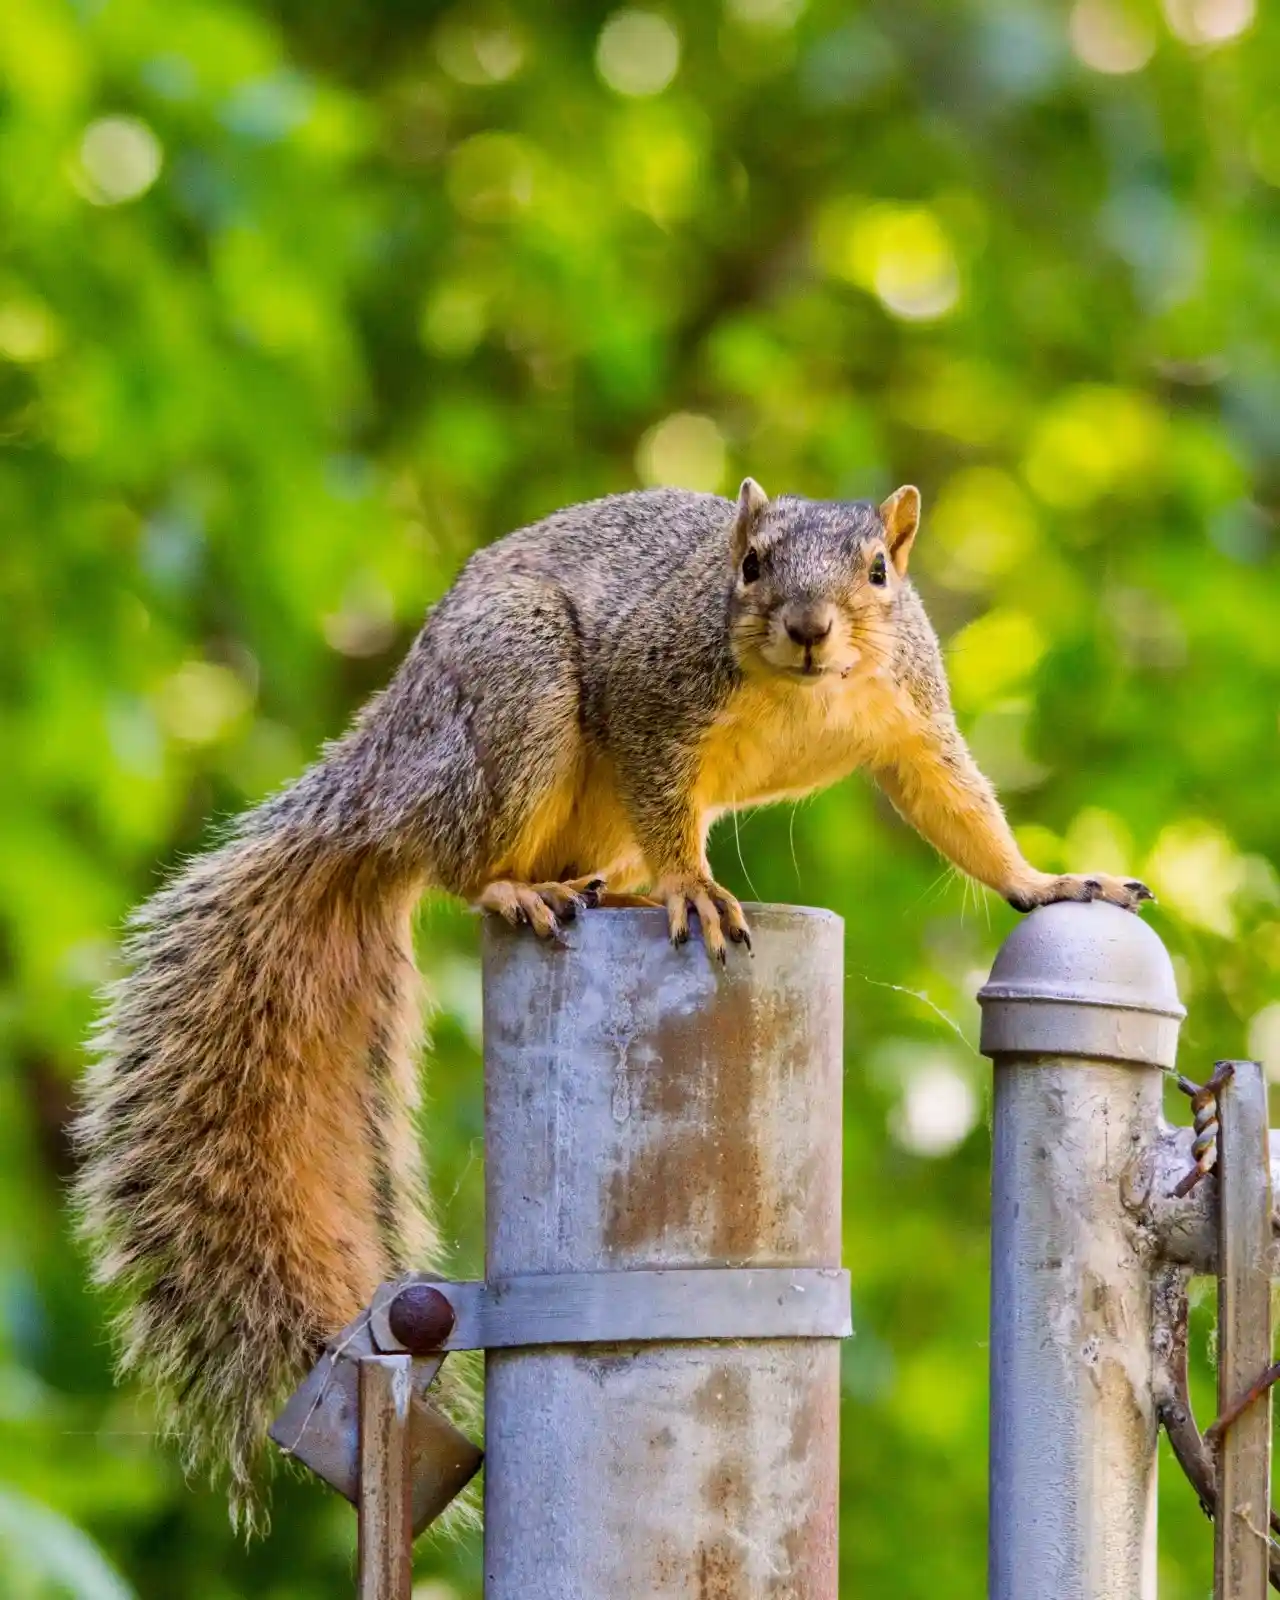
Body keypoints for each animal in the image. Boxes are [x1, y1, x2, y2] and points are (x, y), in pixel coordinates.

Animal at [67, 480, 1152, 1529]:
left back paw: (607, 892)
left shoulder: (913, 722)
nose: (807, 627)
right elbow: (671, 808)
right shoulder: (651, 705)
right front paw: (695, 889)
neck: (805, 692)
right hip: (517, 702)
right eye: (748, 565)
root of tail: (385, 780)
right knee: (468, 866)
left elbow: (961, 810)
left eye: (879, 570)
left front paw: (1049, 882)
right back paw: (523, 890)